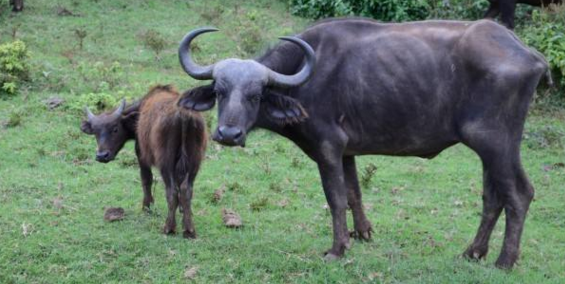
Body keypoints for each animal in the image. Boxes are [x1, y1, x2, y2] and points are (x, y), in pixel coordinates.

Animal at [175, 18, 548, 268]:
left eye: (256, 94)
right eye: (220, 91)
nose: (229, 134)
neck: (304, 79)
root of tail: (529, 54)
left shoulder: (328, 147)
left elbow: (336, 198)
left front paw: (337, 248)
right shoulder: (347, 152)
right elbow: (354, 192)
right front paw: (362, 233)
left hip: (495, 142)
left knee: (519, 194)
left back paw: (504, 260)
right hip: (489, 149)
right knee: (493, 197)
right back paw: (473, 252)